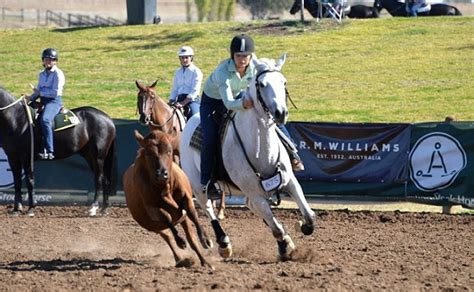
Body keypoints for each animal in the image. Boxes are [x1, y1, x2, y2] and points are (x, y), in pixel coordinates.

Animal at [0, 86, 117, 217]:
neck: (17, 119)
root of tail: (107, 119)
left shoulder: (26, 158)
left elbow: (30, 181)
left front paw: (31, 208)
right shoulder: (13, 158)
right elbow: (17, 183)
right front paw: (16, 209)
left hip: (98, 157)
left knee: (99, 179)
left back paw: (93, 208)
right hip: (90, 156)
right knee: (104, 179)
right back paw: (104, 209)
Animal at [123, 130, 212, 270]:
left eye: (169, 151)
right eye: (148, 153)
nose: (161, 174)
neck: (165, 189)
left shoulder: (186, 199)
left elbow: (193, 215)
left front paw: (204, 240)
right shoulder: (152, 209)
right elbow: (167, 218)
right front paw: (180, 241)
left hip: (180, 218)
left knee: (190, 236)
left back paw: (203, 256)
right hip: (153, 225)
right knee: (168, 237)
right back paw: (180, 259)